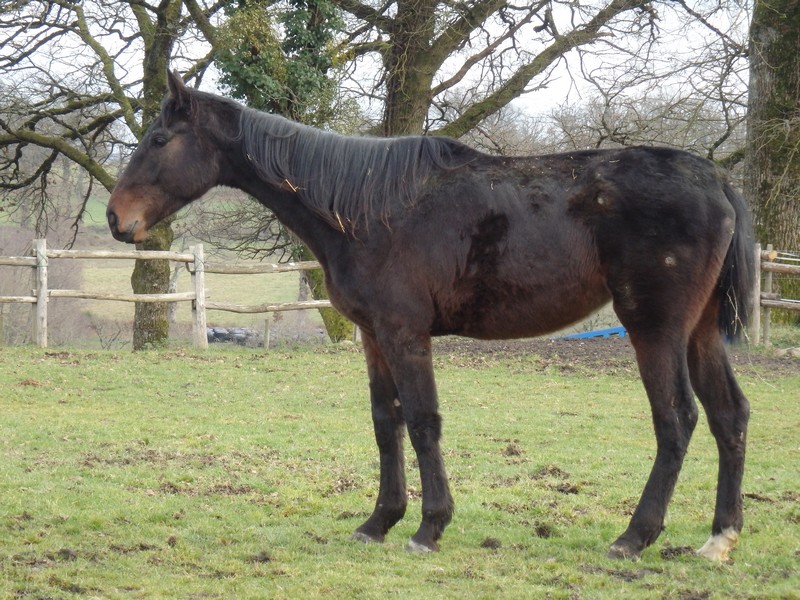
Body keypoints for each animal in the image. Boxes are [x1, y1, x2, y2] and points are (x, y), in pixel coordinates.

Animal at [109, 71, 752, 564]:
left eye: (160, 138)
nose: (117, 219)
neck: (365, 207)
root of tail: (718, 180)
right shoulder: (374, 337)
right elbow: (385, 422)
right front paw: (379, 522)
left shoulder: (405, 334)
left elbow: (421, 422)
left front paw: (428, 527)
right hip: (698, 332)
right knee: (729, 416)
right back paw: (719, 539)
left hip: (654, 330)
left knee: (677, 420)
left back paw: (634, 537)